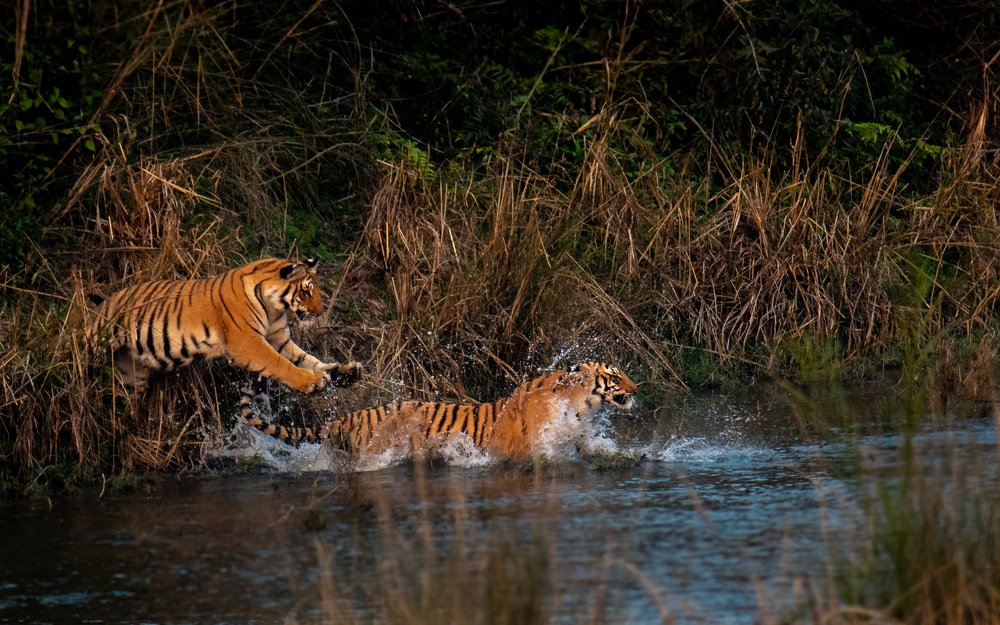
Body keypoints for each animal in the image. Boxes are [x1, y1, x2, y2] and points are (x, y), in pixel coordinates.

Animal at [84, 257, 362, 393]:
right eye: (306, 292)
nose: (321, 311)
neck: (275, 306)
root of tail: (102, 305)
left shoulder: (279, 338)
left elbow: (308, 358)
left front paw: (344, 371)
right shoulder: (247, 343)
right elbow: (281, 364)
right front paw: (311, 382)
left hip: (132, 374)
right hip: (94, 345)